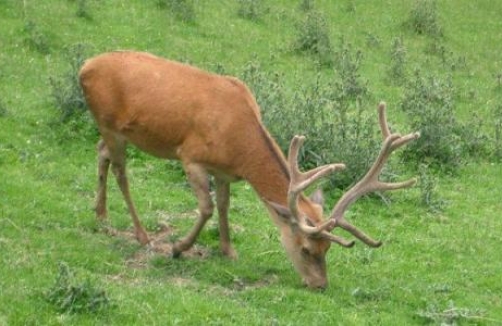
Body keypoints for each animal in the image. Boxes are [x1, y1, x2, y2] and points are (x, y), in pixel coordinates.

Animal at [79, 50, 420, 288]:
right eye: (306, 249)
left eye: (328, 249)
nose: (320, 285)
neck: (238, 143)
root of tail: (84, 66)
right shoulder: (191, 157)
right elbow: (206, 208)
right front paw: (179, 247)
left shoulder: (223, 171)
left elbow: (224, 205)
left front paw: (228, 251)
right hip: (108, 122)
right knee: (121, 171)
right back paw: (141, 234)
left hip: (112, 131)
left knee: (100, 153)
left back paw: (101, 213)